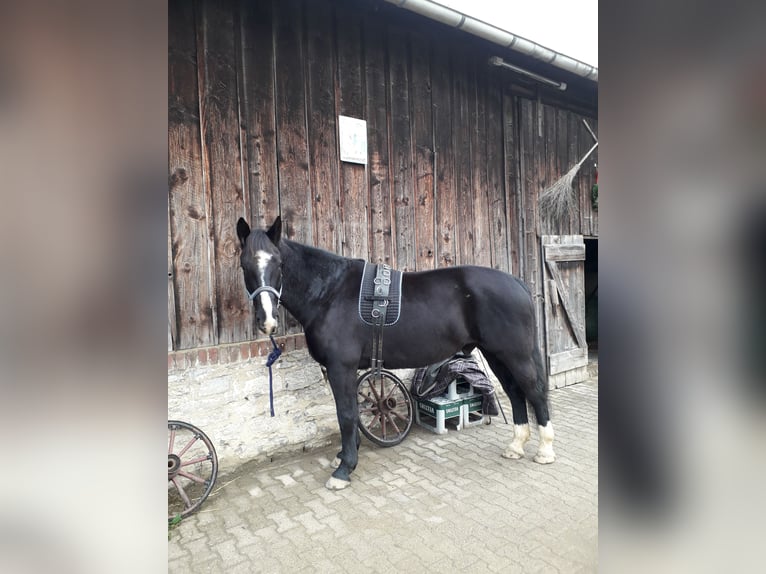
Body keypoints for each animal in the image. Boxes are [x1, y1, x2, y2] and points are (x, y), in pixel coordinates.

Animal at [237, 216, 556, 490]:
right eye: (244, 265)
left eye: (278, 262)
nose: (267, 320)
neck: (330, 293)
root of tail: (516, 283)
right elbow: (347, 413)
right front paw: (345, 456)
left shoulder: (342, 367)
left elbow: (347, 415)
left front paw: (344, 470)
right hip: (496, 354)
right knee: (515, 392)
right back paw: (516, 446)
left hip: (515, 354)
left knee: (534, 392)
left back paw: (544, 450)